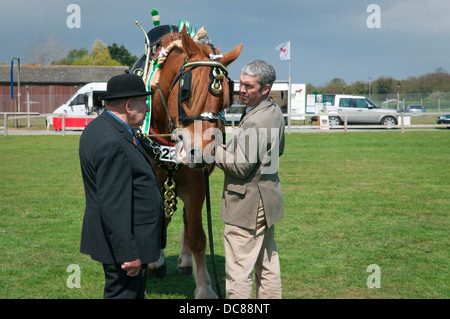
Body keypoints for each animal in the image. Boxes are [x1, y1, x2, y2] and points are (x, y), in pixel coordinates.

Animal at [134, 26, 243, 298]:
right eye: (185, 90)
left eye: (227, 97)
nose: (201, 153)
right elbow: (155, 222)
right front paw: (152, 265)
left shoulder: (196, 183)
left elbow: (196, 235)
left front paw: (204, 286)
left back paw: (184, 260)